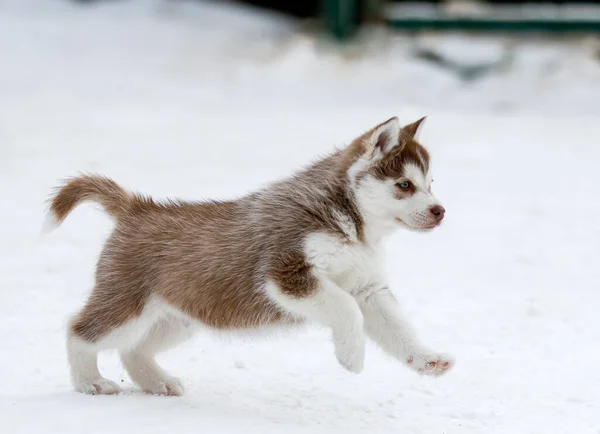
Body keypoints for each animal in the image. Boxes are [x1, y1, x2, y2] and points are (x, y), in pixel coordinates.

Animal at [44, 117, 452, 396]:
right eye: (405, 185)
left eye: (431, 184)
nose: (440, 211)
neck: (353, 223)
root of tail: (137, 207)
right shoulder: (286, 272)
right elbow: (346, 309)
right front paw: (351, 357)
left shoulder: (368, 288)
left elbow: (397, 328)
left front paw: (426, 358)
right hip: (130, 306)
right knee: (79, 330)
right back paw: (90, 382)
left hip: (179, 315)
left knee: (133, 350)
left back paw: (158, 383)